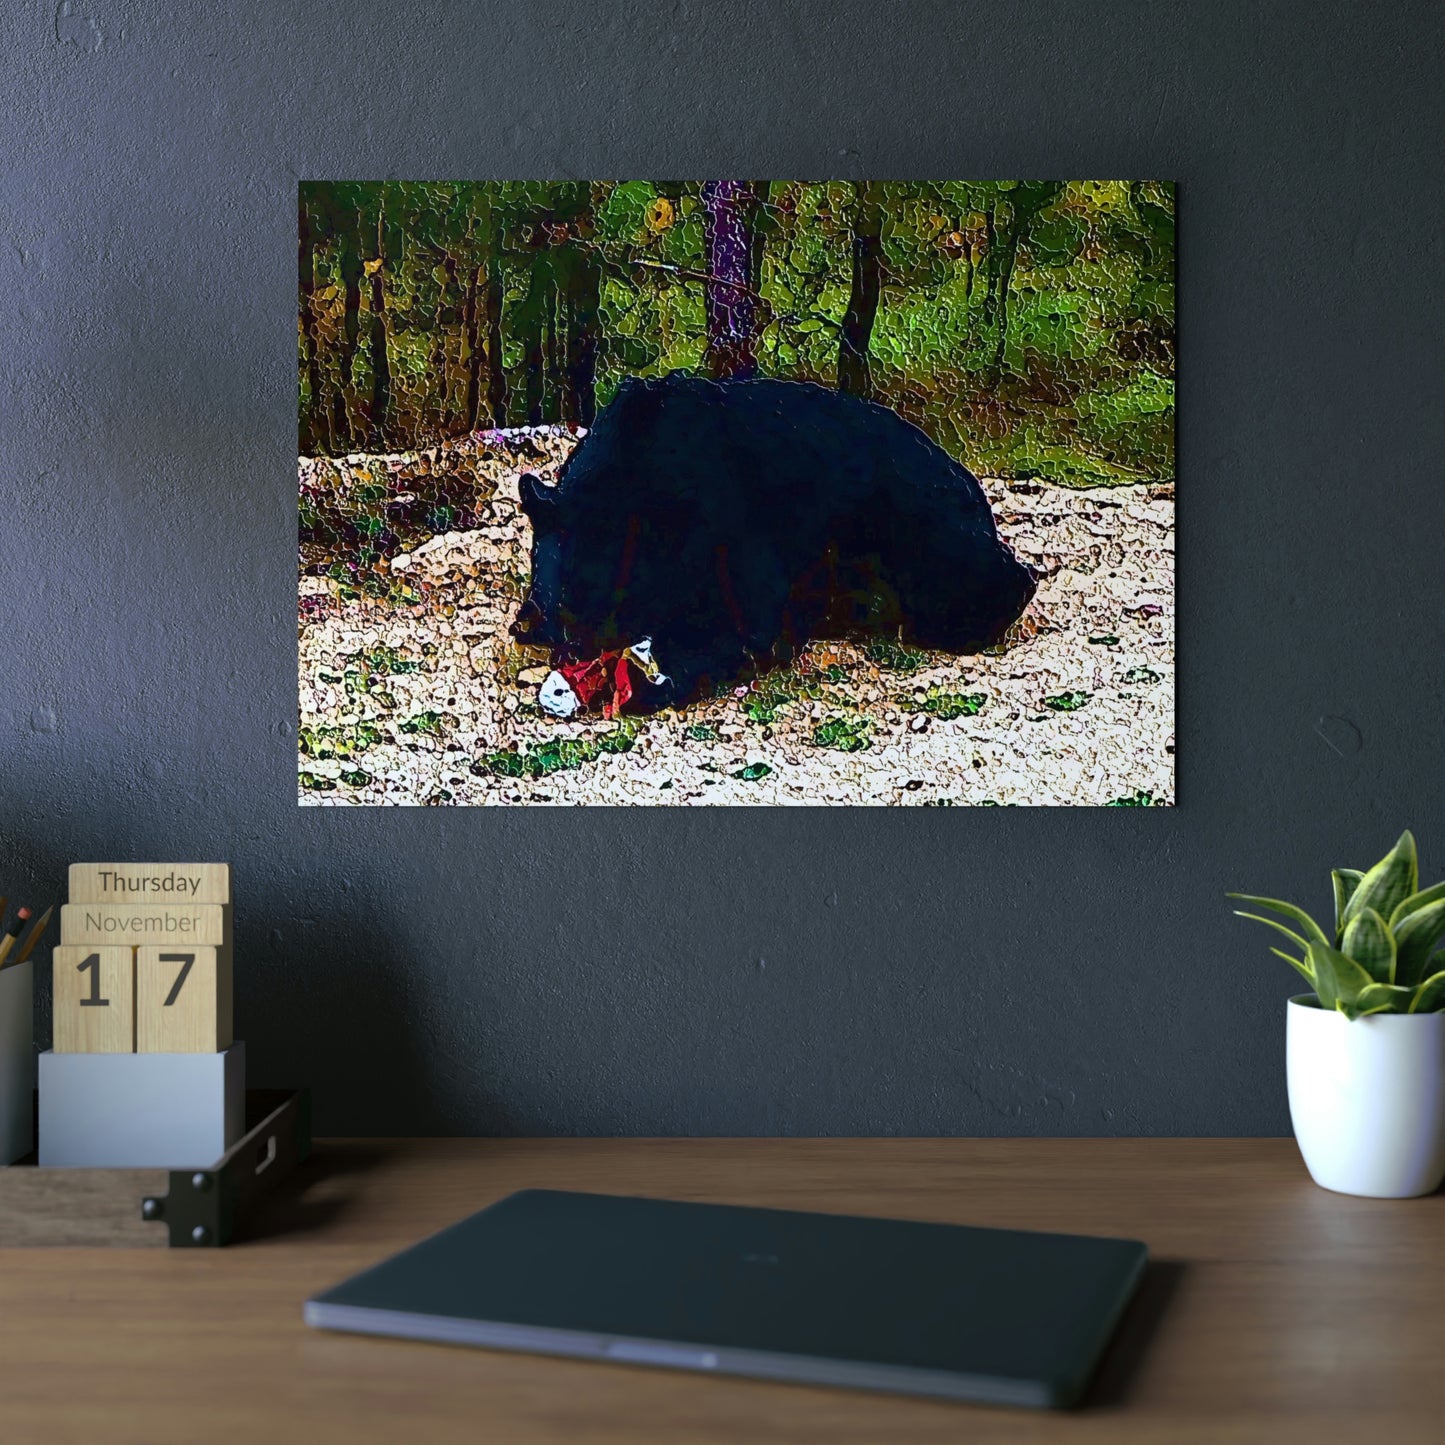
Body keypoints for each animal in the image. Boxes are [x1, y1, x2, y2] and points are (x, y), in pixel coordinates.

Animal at [511, 374, 1036, 715]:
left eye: (595, 601)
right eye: (561, 608)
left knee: (975, 581)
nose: (571, 656)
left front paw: (654, 681)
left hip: (915, 523)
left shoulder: (729, 522)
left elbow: (741, 628)